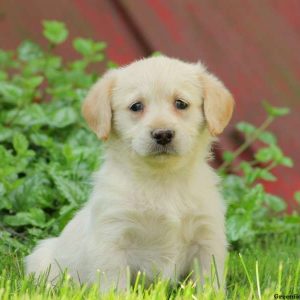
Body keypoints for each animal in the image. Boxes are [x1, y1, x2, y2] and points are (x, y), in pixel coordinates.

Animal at [25, 55, 234, 290]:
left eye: (181, 104)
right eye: (136, 106)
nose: (163, 134)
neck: (162, 180)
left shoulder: (207, 239)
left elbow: (209, 283)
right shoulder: (112, 240)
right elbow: (115, 286)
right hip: (42, 260)